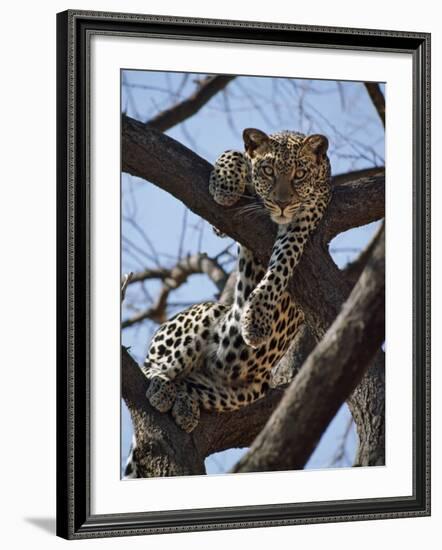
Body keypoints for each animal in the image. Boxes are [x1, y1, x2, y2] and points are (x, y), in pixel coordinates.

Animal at [122, 127, 330, 476]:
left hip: (243, 390)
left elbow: (282, 264)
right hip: (205, 315)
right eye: (268, 171)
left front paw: (257, 319)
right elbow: (234, 153)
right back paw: (162, 387)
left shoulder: (305, 219)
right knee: (153, 366)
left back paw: (184, 405)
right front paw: (225, 184)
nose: (282, 203)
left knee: (189, 383)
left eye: (300, 174)